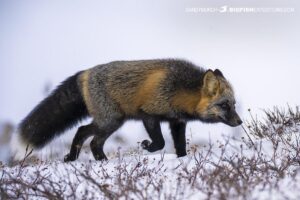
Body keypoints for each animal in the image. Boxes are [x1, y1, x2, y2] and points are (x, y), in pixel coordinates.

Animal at [10, 58, 243, 162]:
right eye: (224, 105)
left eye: (234, 104)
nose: (239, 122)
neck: (177, 89)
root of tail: (85, 72)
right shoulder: (148, 114)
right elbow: (160, 142)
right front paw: (147, 146)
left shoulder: (177, 122)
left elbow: (179, 146)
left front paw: (182, 161)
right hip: (111, 121)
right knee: (89, 137)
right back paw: (100, 161)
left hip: (109, 122)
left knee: (84, 134)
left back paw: (77, 158)